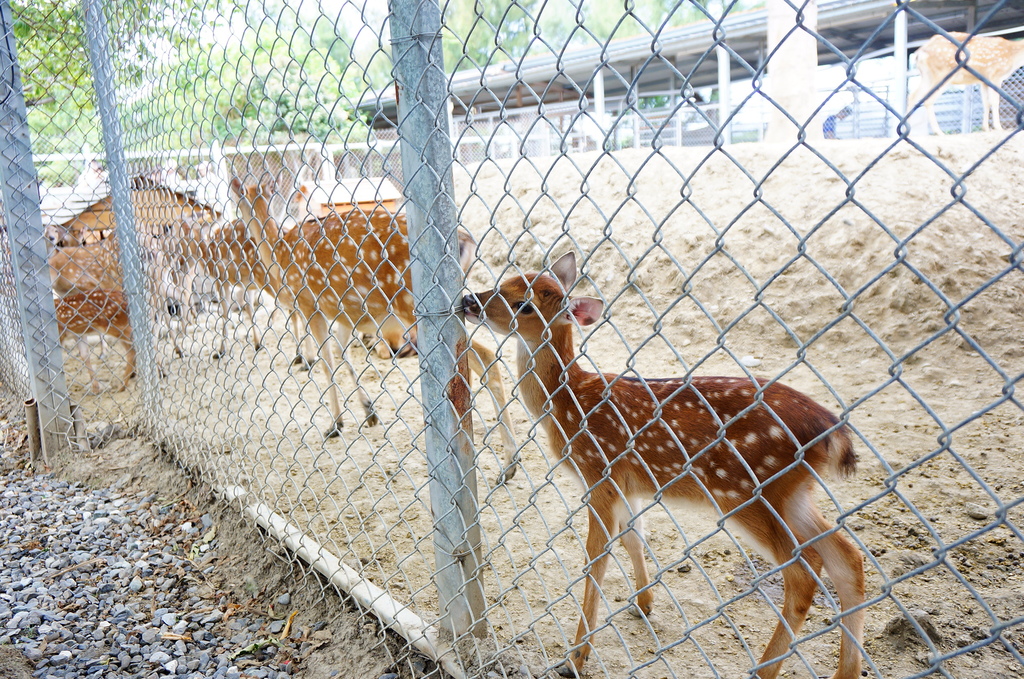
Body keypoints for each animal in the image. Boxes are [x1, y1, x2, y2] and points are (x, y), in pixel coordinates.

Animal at [234, 180, 516, 456]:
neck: (279, 250)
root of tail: (465, 240)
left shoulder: (308, 303)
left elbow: (327, 362)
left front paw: (335, 424)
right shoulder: (346, 314)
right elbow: (342, 354)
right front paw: (369, 412)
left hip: (412, 306)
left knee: (486, 356)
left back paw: (510, 455)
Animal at [462, 253, 864, 679]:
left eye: (524, 304)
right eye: (504, 280)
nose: (468, 300)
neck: (569, 404)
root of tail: (832, 430)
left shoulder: (598, 471)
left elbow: (596, 559)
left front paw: (577, 656)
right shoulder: (628, 484)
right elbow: (634, 537)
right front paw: (643, 603)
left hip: (748, 490)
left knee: (805, 571)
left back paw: (765, 669)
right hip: (793, 493)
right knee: (847, 558)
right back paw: (845, 672)